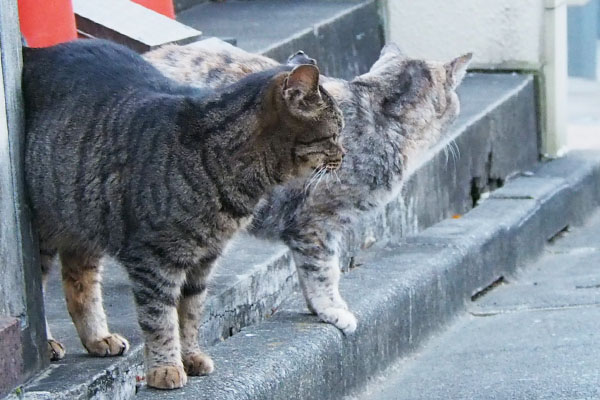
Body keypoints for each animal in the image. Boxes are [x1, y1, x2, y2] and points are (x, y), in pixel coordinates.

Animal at [23, 39, 344, 390]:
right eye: (335, 133)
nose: (344, 155)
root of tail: (38, 51)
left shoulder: (204, 259)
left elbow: (189, 314)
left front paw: (190, 356)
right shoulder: (154, 258)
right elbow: (160, 318)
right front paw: (166, 368)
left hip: (85, 218)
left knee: (79, 283)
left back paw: (98, 338)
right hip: (44, 230)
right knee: (40, 287)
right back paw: (48, 342)